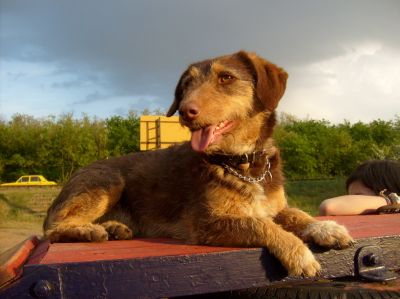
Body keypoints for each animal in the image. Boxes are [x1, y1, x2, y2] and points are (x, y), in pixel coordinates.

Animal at [42, 51, 352, 276]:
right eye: (186, 84)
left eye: (226, 77)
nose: (184, 111)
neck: (244, 164)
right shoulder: (207, 222)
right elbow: (261, 225)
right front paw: (300, 254)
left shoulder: (275, 206)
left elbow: (297, 214)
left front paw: (326, 228)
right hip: (107, 181)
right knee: (51, 228)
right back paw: (90, 230)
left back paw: (113, 228)